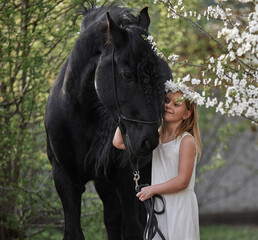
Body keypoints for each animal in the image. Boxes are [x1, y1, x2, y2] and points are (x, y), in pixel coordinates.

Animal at [45, 4, 172, 240]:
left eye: (162, 73)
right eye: (126, 75)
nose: (148, 141)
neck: (82, 117)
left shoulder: (126, 179)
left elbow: (133, 228)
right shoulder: (64, 179)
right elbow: (75, 231)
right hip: (104, 183)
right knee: (112, 220)